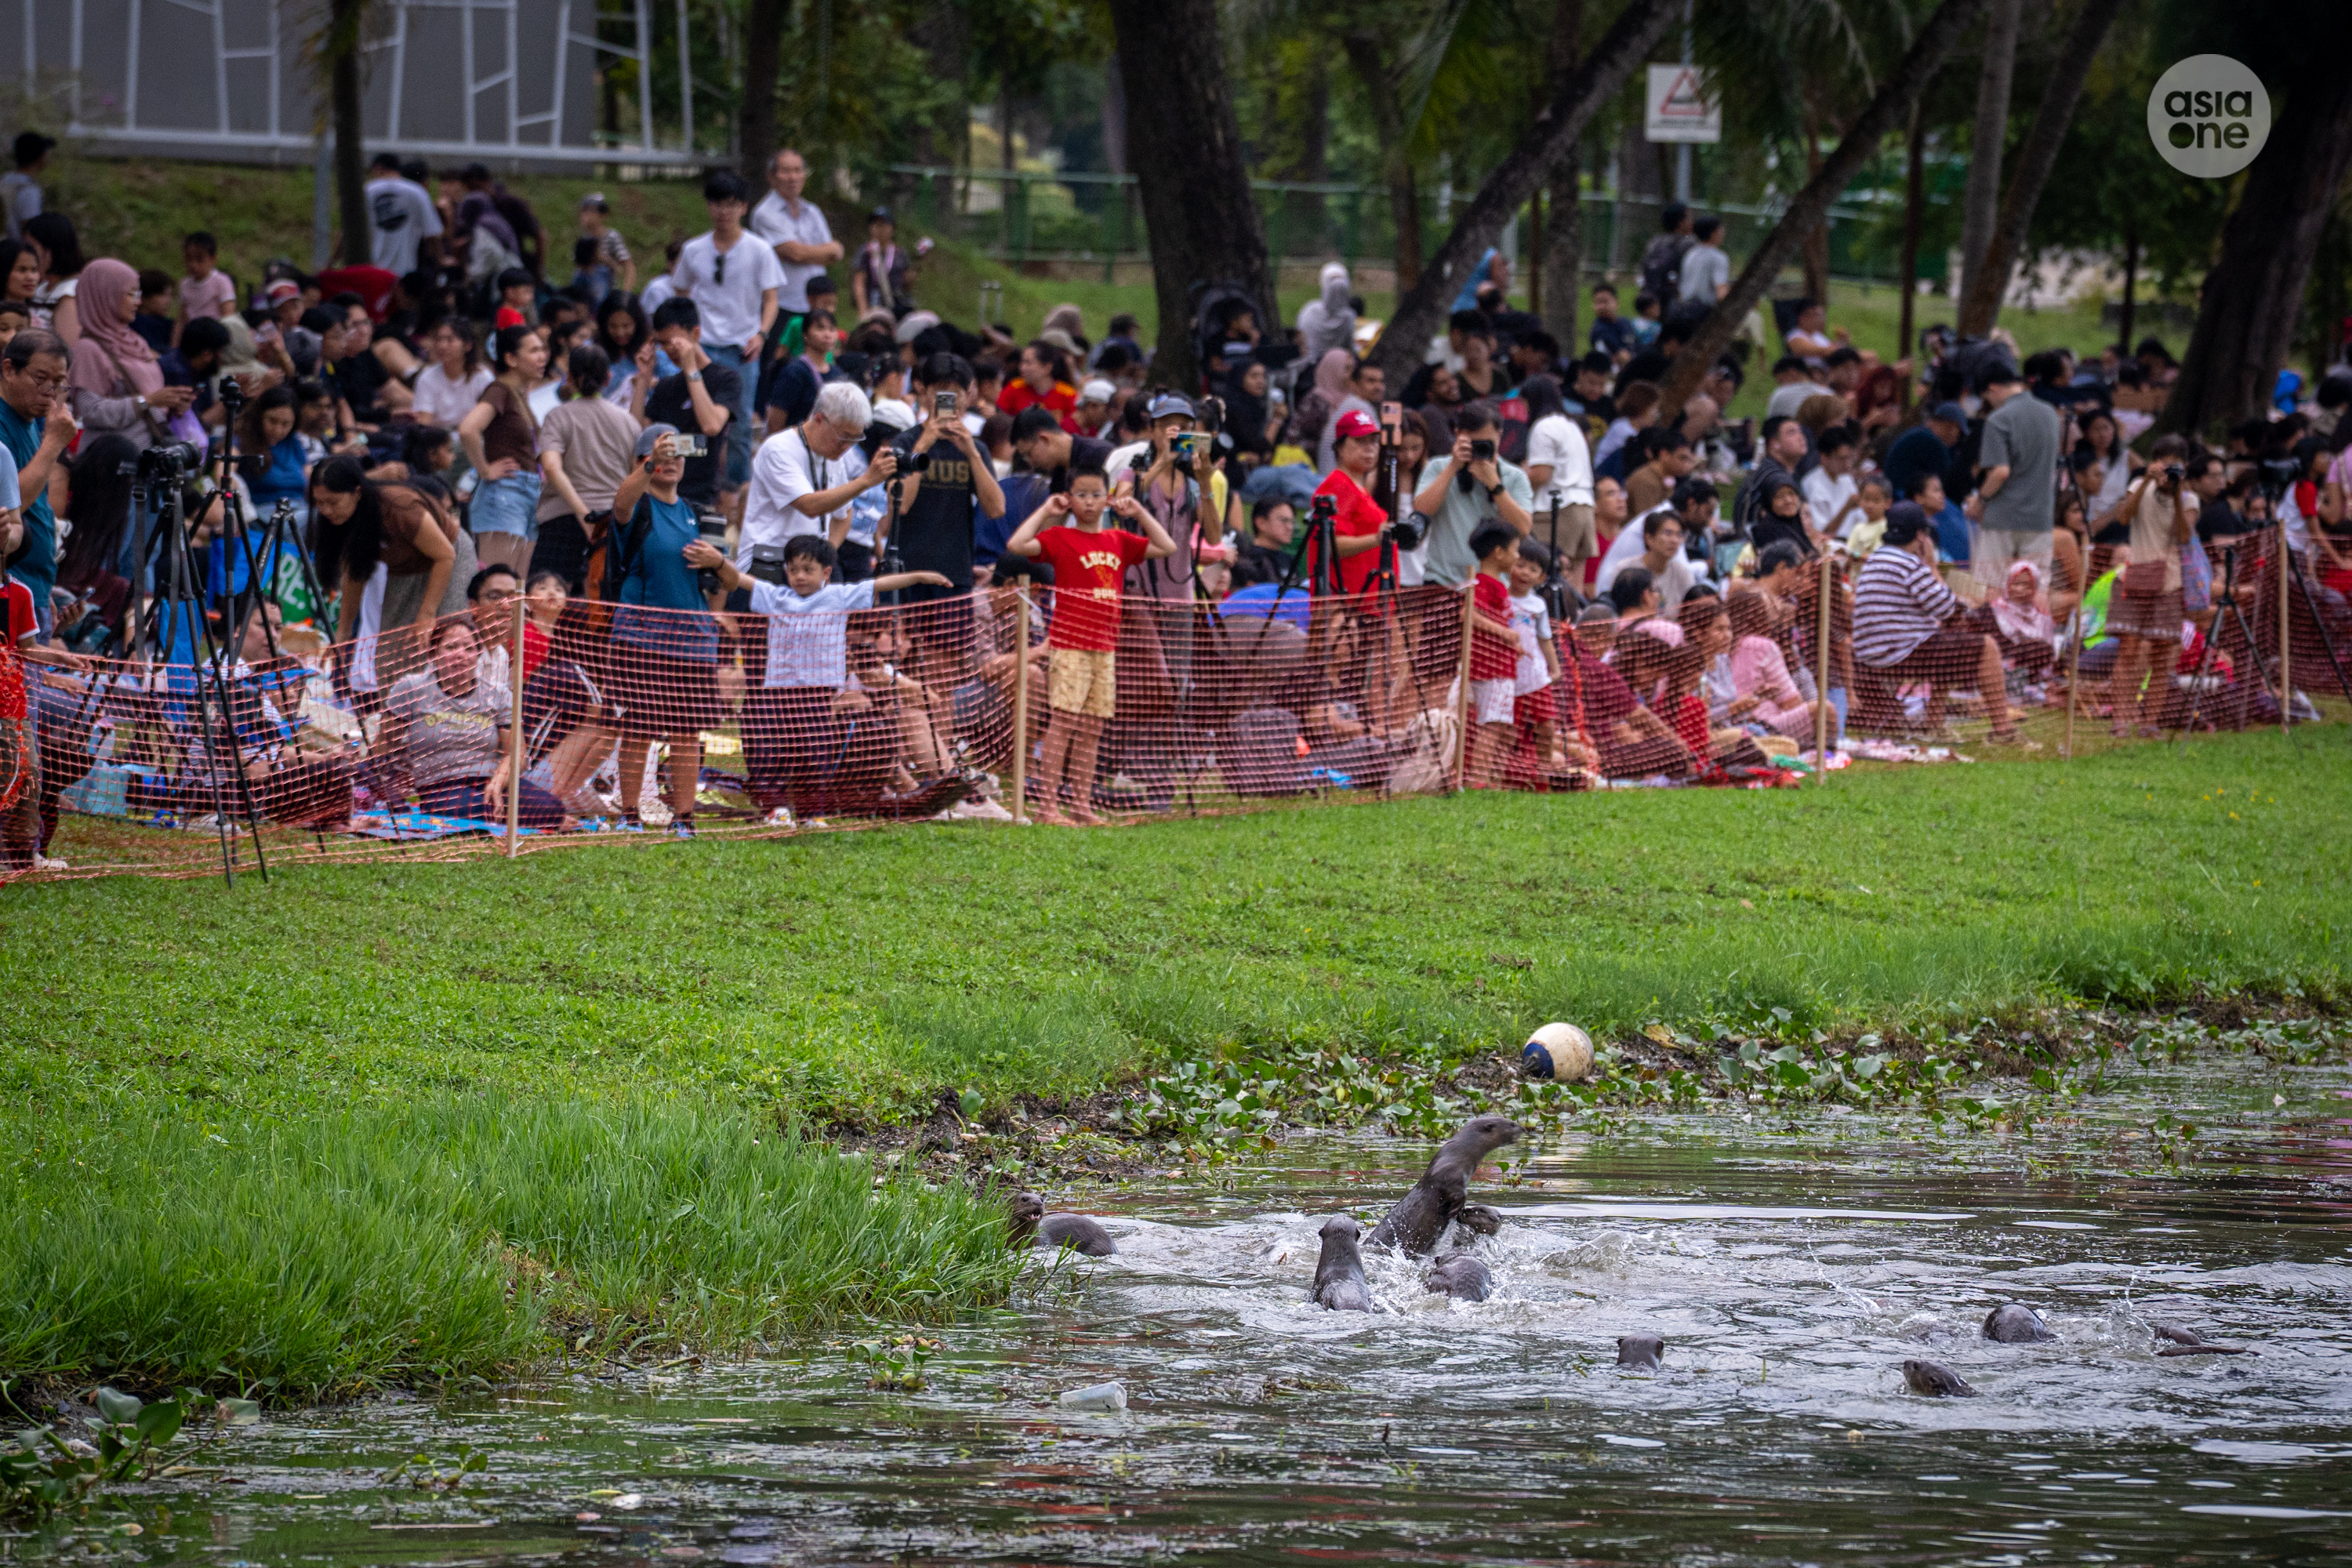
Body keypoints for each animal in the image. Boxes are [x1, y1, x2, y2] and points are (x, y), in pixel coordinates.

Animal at [1366, 1116, 1524, 1257]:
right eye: (1512, 1124)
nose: (1522, 1128)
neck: (1457, 1157)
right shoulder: (1450, 1178)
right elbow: (1455, 1195)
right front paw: (1457, 1210)